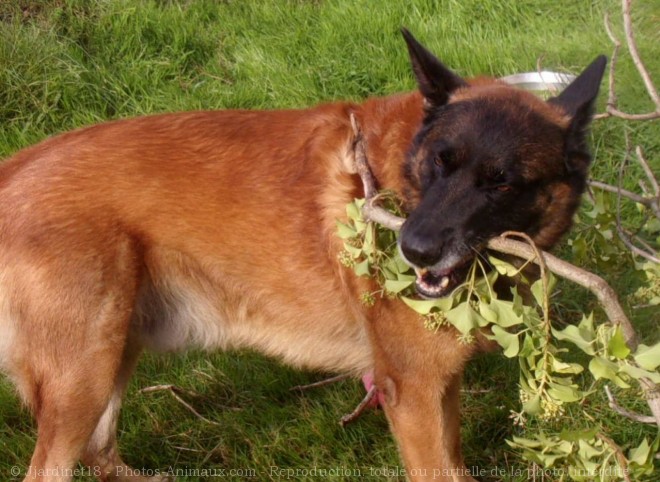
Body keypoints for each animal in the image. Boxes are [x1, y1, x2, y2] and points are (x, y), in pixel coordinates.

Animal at [0, 31, 604, 482]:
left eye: (501, 183)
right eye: (439, 161)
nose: (412, 250)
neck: (400, 174)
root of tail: (14, 169)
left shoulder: (438, 389)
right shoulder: (414, 394)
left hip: (113, 350)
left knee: (98, 451)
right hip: (85, 374)